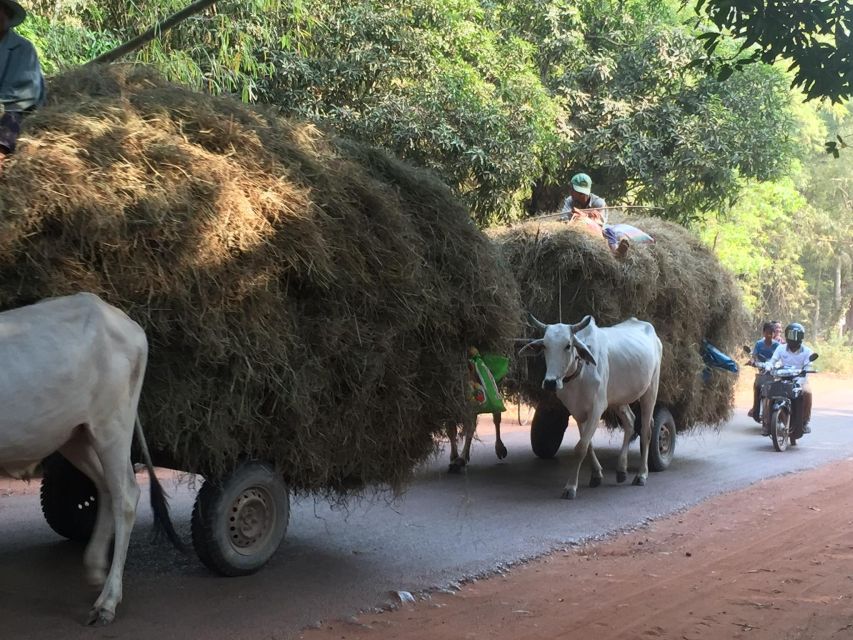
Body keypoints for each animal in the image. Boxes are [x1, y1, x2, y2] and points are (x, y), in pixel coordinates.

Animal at [0, 296, 181, 624]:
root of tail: (125, 321)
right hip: (77, 435)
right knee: (106, 488)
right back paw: (97, 569)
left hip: (112, 427)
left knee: (126, 496)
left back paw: (107, 601)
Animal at [516, 316, 664, 500]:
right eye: (544, 346)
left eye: (568, 345)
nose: (550, 382)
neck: (580, 374)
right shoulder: (578, 412)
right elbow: (587, 444)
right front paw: (596, 475)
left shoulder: (596, 409)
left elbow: (580, 448)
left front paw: (571, 487)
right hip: (618, 398)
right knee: (630, 422)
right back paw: (621, 470)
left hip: (650, 391)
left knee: (646, 430)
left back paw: (642, 474)